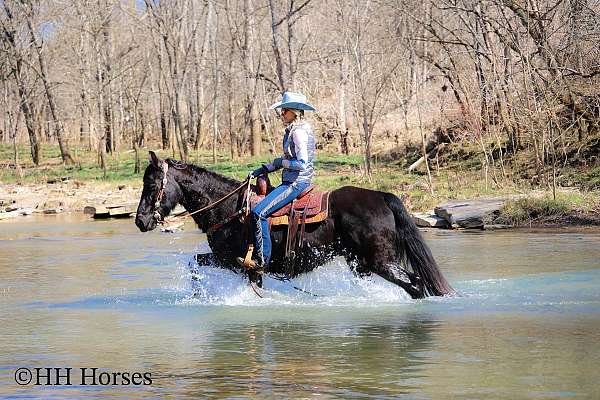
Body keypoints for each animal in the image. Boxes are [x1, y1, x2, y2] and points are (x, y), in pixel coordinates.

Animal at [137, 152, 454, 298]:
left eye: (151, 185)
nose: (141, 220)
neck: (228, 209)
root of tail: (381, 196)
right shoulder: (228, 260)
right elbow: (195, 263)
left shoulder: (238, 262)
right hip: (361, 263)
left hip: (380, 261)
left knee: (415, 283)